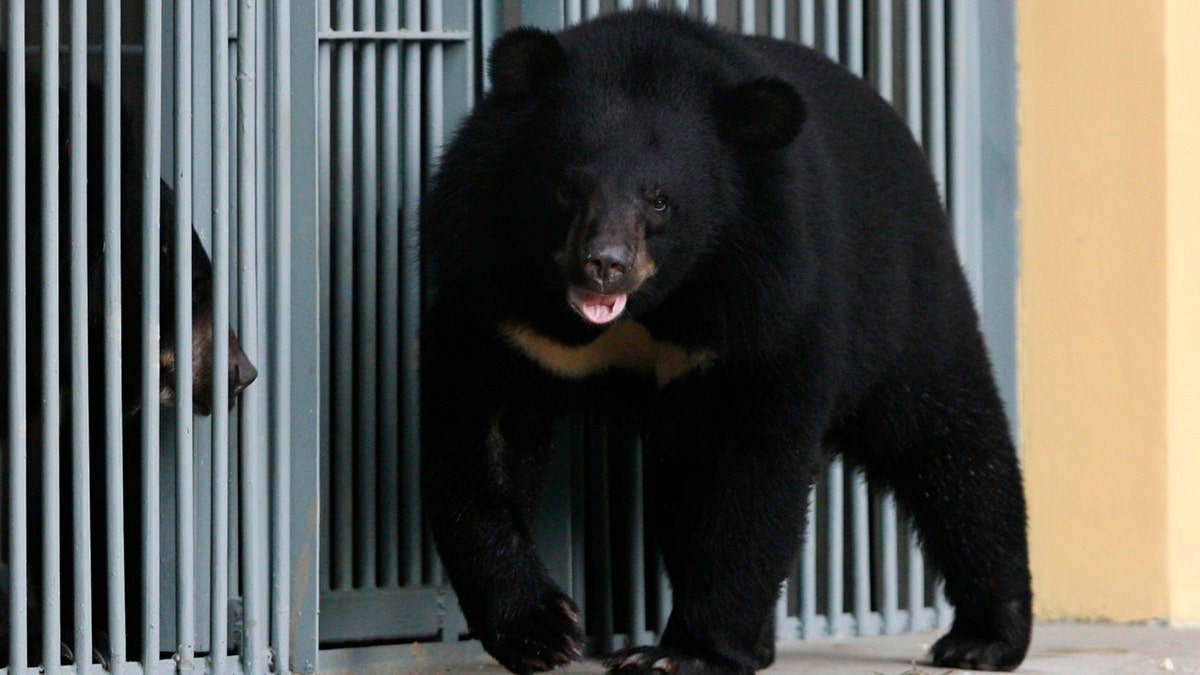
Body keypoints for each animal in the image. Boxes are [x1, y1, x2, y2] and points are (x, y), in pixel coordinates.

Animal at [420, 10, 1032, 672]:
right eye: (567, 187)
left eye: (659, 200)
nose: (603, 266)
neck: (650, 310)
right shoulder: (493, 293)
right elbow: (479, 438)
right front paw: (544, 631)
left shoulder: (771, 293)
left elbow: (755, 466)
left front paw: (680, 654)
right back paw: (762, 644)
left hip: (903, 295)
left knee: (950, 445)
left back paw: (984, 637)